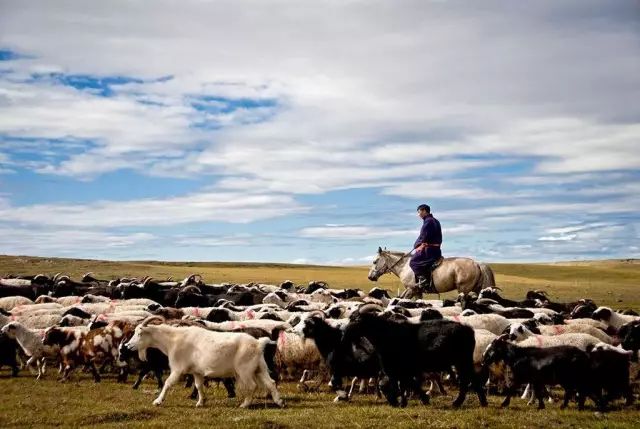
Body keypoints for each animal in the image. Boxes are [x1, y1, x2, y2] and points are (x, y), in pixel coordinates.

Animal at [364, 247, 496, 298]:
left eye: (375, 261)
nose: (370, 277)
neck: (404, 266)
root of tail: (477, 263)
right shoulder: (417, 292)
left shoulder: (411, 290)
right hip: (478, 289)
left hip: (464, 290)